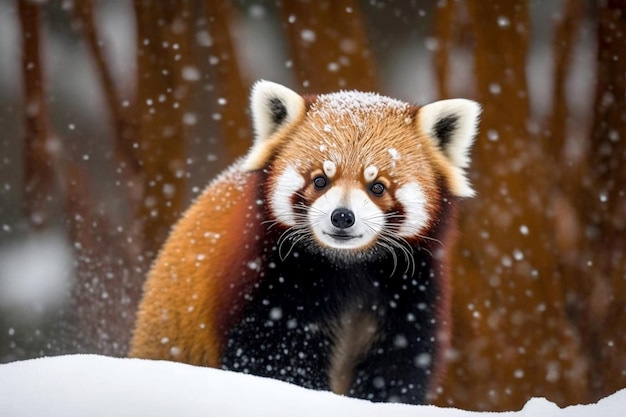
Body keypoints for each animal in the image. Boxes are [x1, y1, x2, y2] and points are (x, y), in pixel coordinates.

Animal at [128, 79, 478, 404]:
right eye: (320, 181)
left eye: (377, 186)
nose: (342, 216)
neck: (350, 266)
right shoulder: (272, 282)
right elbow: (275, 357)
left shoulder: (411, 290)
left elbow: (399, 364)